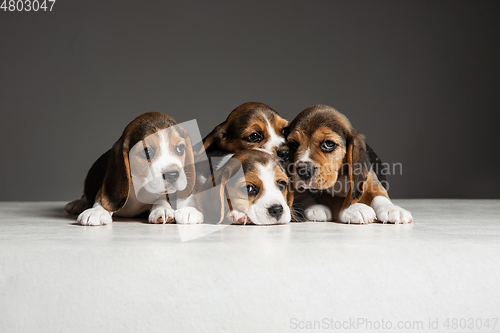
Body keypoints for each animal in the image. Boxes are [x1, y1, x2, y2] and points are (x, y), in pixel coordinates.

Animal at [65, 112, 199, 226]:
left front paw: (163, 209)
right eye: (146, 151)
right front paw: (97, 211)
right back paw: (77, 203)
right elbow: (102, 199)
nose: (172, 175)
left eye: (180, 148)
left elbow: (161, 198)